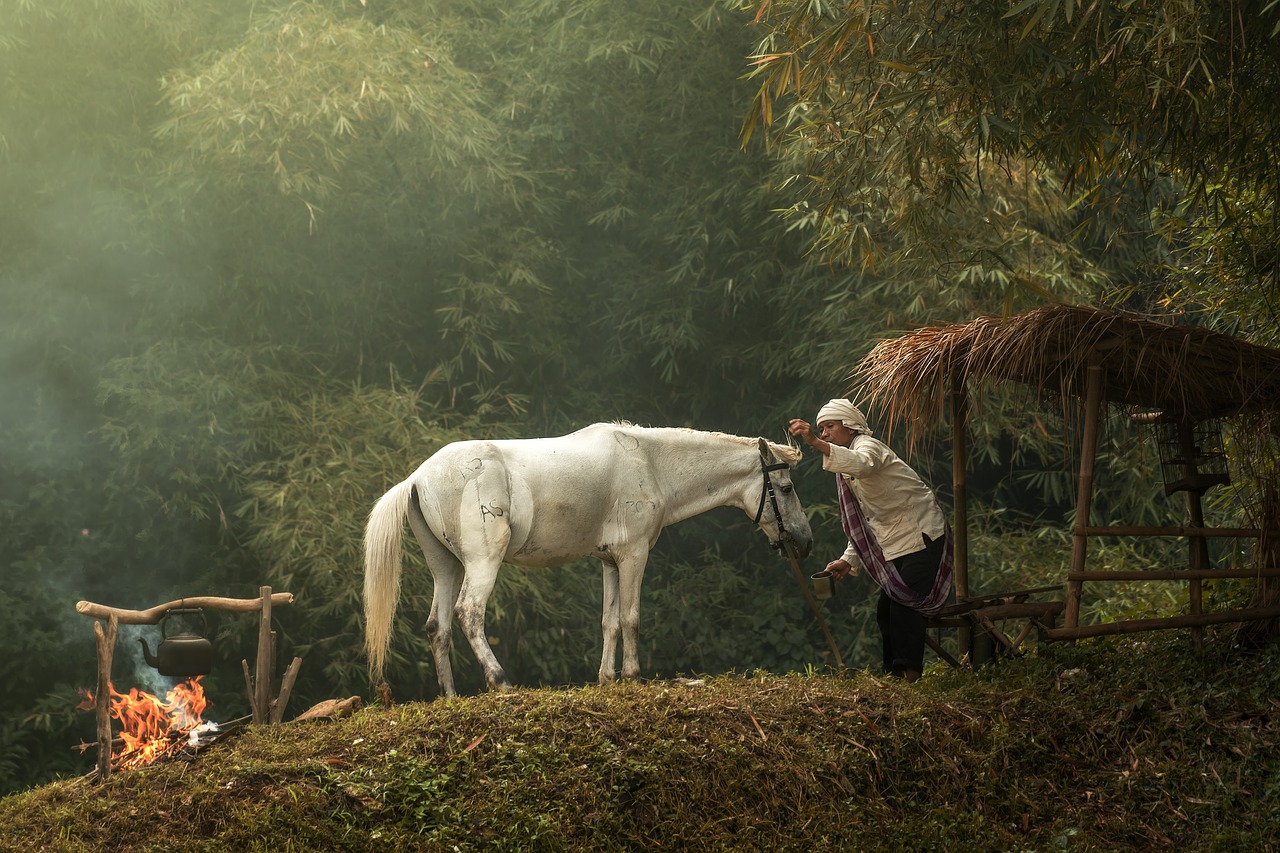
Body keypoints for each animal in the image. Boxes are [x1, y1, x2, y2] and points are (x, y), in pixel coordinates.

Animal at [366, 422, 814, 696]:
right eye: (786, 488)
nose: (804, 543)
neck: (649, 462)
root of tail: (418, 477)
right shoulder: (634, 555)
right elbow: (631, 618)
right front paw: (632, 677)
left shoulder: (610, 562)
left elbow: (609, 622)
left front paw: (606, 679)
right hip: (481, 563)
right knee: (469, 613)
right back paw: (501, 682)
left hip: (447, 567)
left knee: (437, 626)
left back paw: (451, 695)